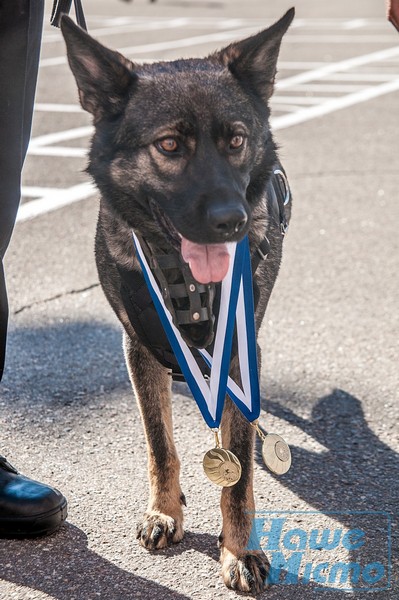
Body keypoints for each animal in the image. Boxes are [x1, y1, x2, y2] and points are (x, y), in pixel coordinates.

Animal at [61, 10, 294, 596]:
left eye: (236, 140)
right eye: (168, 146)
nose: (233, 221)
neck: (184, 278)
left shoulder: (238, 352)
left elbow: (238, 474)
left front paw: (239, 549)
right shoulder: (140, 347)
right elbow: (160, 445)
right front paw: (165, 512)